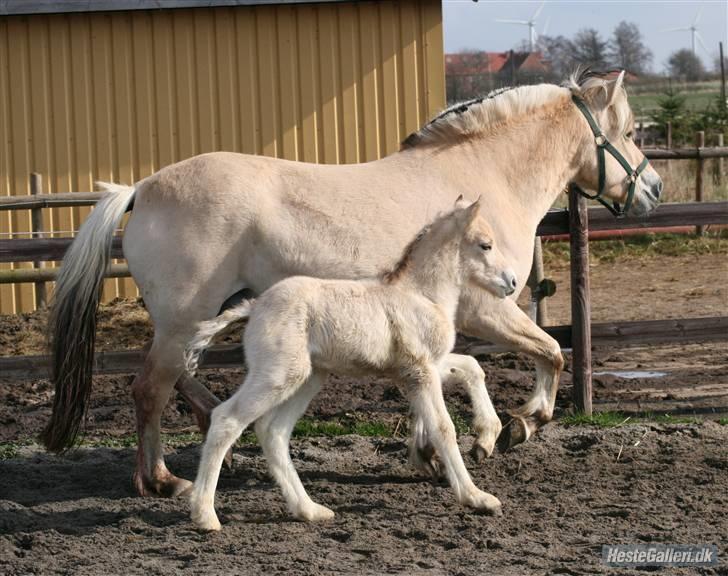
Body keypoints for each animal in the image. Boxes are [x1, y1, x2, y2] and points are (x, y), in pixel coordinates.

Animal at [42, 70, 664, 498]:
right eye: (629, 131)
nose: (654, 188)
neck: (484, 179)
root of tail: (142, 188)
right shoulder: (488, 309)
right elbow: (552, 351)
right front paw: (516, 426)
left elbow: (450, 377)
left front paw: (432, 452)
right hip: (183, 319)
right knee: (150, 388)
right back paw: (162, 480)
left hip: (198, 318)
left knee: (180, 380)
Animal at [188, 199, 516, 532]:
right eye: (486, 245)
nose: (511, 283)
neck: (421, 294)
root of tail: (255, 307)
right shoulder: (420, 371)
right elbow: (443, 427)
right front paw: (476, 497)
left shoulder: (426, 367)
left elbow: (473, 366)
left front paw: (487, 438)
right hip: (277, 375)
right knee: (227, 419)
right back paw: (205, 514)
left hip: (308, 377)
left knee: (273, 430)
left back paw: (309, 509)